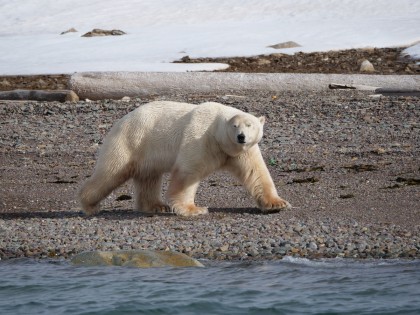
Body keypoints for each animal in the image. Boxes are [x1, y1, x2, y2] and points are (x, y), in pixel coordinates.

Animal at [78, 102, 288, 217]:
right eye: (235, 126)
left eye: (250, 125)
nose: (241, 137)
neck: (217, 136)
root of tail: (120, 121)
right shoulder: (200, 138)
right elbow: (188, 173)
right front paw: (194, 209)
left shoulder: (244, 151)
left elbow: (256, 172)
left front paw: (277, 204)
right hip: (131, 140)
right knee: (111, 172)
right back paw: (90, 205)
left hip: (146, 151)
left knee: (148, 177)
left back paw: (156, 206)